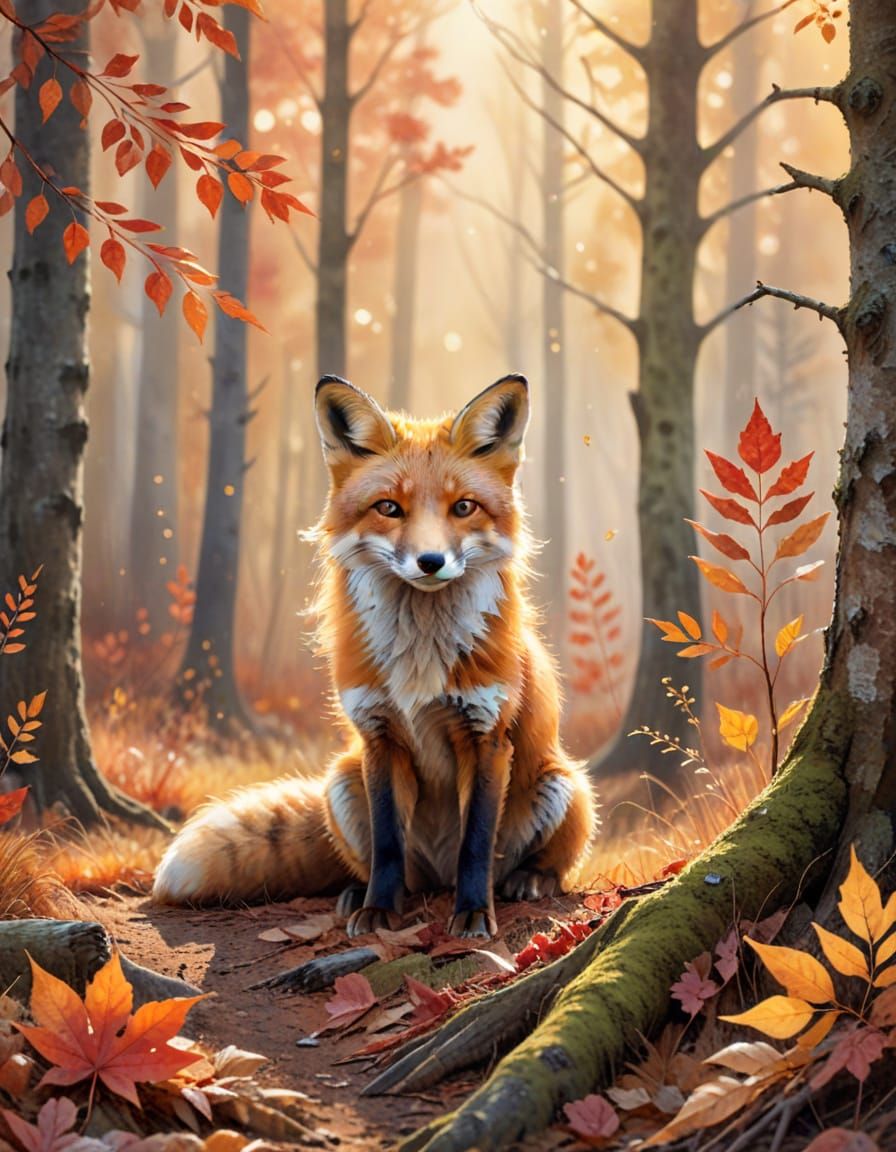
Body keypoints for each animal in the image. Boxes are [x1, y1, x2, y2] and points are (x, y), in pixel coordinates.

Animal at [153, 373, 596, 938]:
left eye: (463, 507)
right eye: (389, 508)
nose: (431, 561)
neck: (420, 660)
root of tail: (437, 877)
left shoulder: (486, 735)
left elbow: (475, 845)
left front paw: (474, 913)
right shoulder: (379, 734)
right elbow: (387, 844)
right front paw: (380, 910)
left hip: (563, 783)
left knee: (532, 864)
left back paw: (526, 881)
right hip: (343, 779)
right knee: (396, 868)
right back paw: (360, 894)